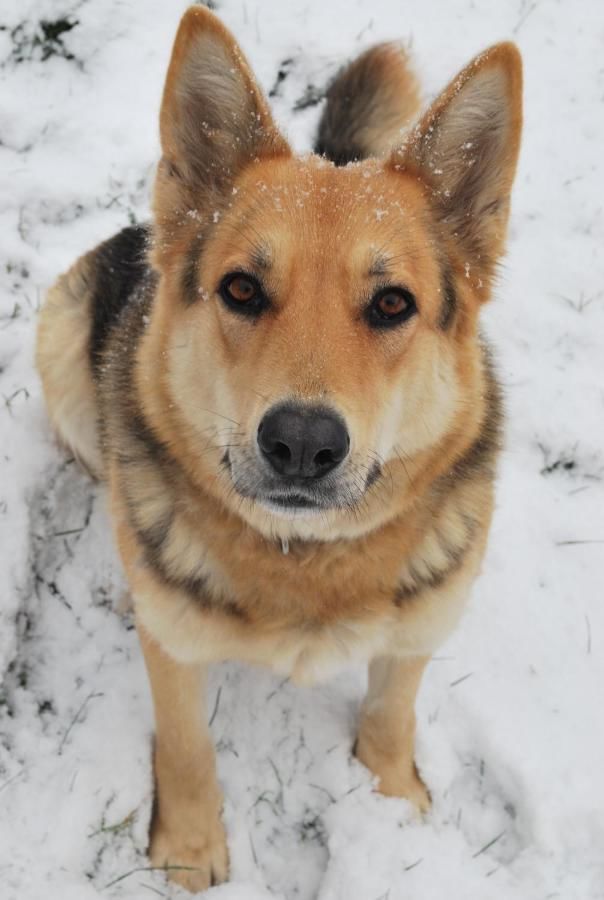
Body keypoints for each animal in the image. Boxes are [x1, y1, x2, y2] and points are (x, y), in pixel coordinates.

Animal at [36, 7, 520, 892]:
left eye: (392, 304)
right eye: (240, 290)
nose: (301, 442)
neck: (305, 559)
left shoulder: (421, 625)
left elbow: (392, 710)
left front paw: (391, 797)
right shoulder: (174, 656)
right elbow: (186, 746)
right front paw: (190, 849)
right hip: (61, 348)